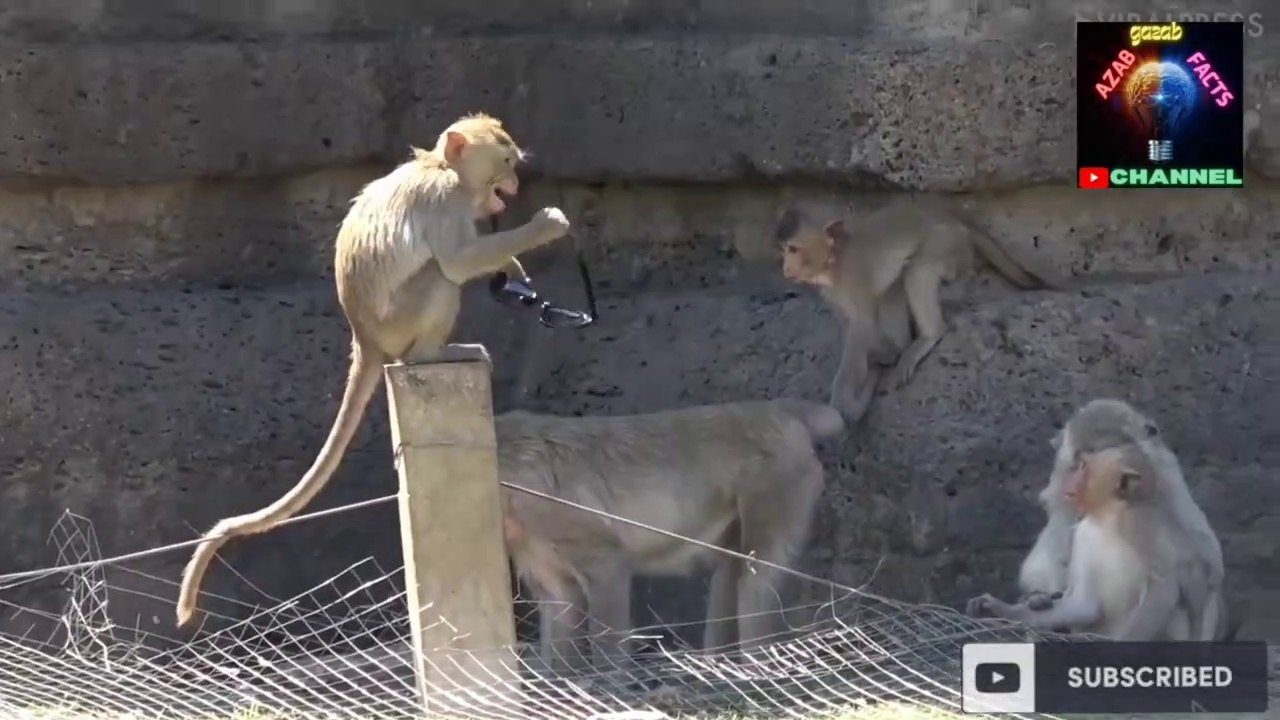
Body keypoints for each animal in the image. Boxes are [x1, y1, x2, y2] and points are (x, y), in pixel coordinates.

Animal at [175, 113, 572, 628]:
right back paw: (432, 354)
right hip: (400, 321)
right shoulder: (444, 200)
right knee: (438, 277)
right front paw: (544, 227)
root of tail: (364, 338)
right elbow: (457, 261)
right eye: (505, 161)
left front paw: (513, 265)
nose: (515, 183)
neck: (439, 167)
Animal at [495, 398, 842, 674]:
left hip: (778, 481)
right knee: (730, 573)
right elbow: (560, 602)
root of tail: (778, 410)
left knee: (755, 579)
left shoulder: (551, 510)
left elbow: (608, 573)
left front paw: (608, 685)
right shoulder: (532, 541)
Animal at [775, 199, 1052, 422]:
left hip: (946, 241)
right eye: (784, 250)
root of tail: (954, 217)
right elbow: (848, 321)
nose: (786, 269)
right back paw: (895, 348)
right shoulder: (831, 291)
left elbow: (861, 323)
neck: (835, 260)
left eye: (793, 249)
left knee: (917, 271)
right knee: (894, 287)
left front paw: (845, 391)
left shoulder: (853, 276)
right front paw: (876, 358)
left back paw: (927, 336)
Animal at [967, 441, 1230, 641]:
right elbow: (1085, 604)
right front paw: (999, 609)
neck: (1108, 517)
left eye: (1083, 467)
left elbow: (1163, 588)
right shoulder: (1084, 534)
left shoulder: (1140, 525)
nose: (1069, 480)